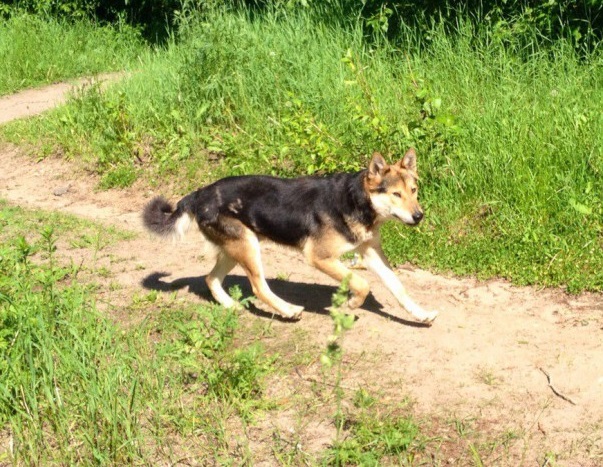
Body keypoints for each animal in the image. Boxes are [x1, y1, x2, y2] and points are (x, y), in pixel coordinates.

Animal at [144, 150, 442, 326]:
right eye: (396, 194)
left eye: (414, 190)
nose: (419, 216)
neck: (356, 201)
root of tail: (199, 194)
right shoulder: (319, 257)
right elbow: (361, 283)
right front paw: (350, 304)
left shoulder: (371, 252)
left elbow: (398, 287)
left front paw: (420, 314)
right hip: (248, 248)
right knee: (258, 287)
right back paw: (288, 310)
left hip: (236, 248)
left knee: (211, 279)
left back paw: (231, 306)